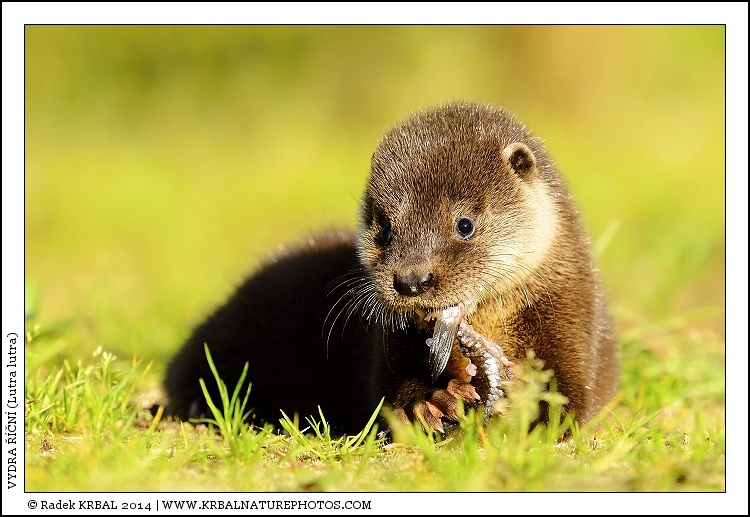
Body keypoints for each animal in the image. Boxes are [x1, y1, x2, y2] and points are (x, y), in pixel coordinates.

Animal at [164, 102, 618, 434]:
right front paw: (430, 402)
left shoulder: (572, 317)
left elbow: (570, 401)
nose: (412, 279)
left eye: (464, 224)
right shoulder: (387, 339)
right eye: (384, 228)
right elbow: (386, 392)